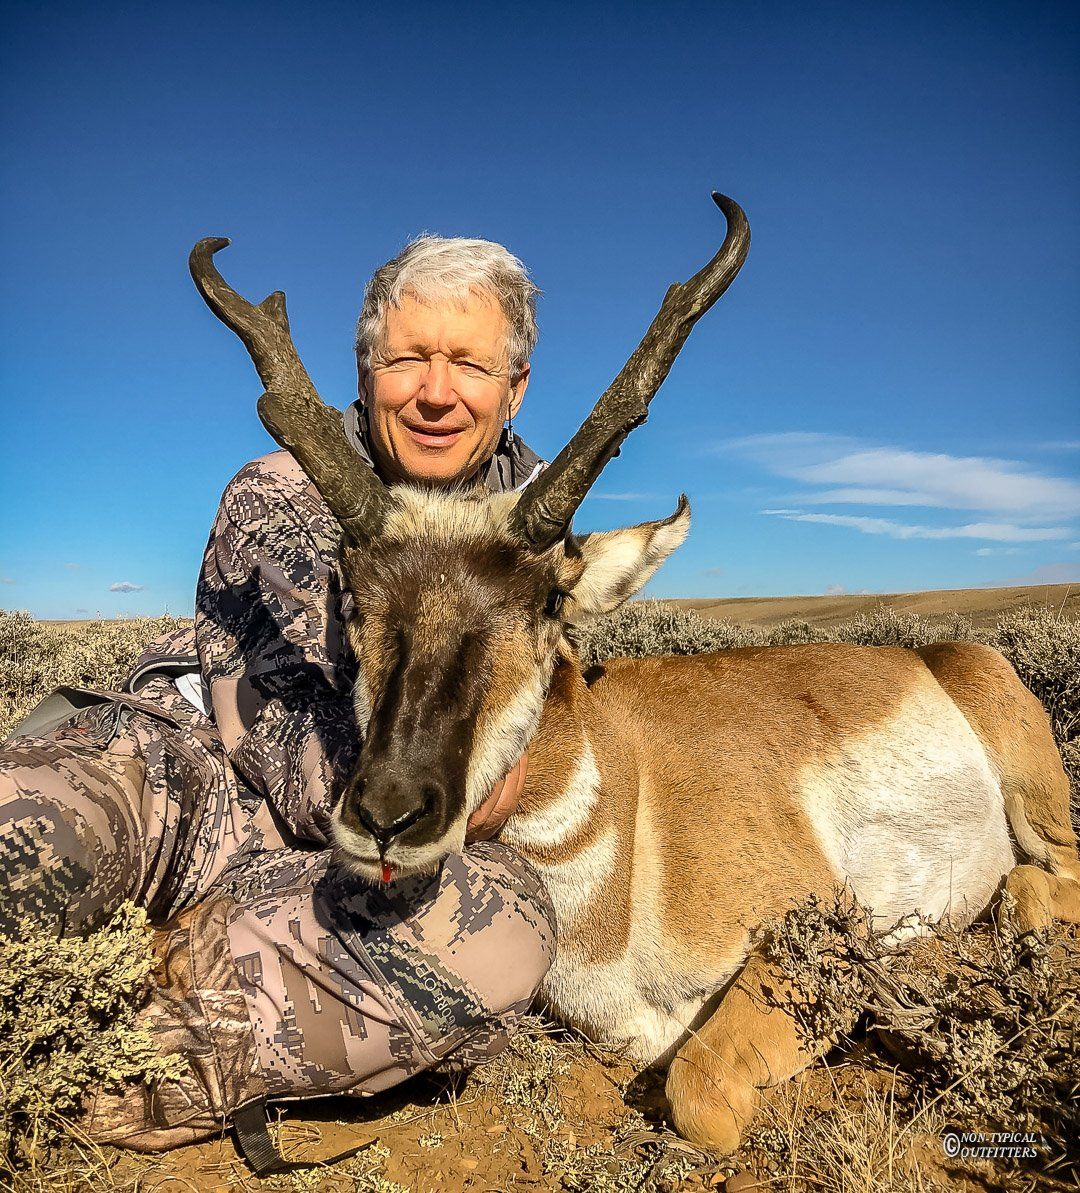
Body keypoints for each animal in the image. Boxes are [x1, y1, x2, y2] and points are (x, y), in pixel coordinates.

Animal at [190, 196, 1080, 1153]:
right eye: (350, 594)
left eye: (550, 599)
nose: (388, 814)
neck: (630, 808)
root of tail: (925, 655)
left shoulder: (806, 929)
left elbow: (699, 1087)